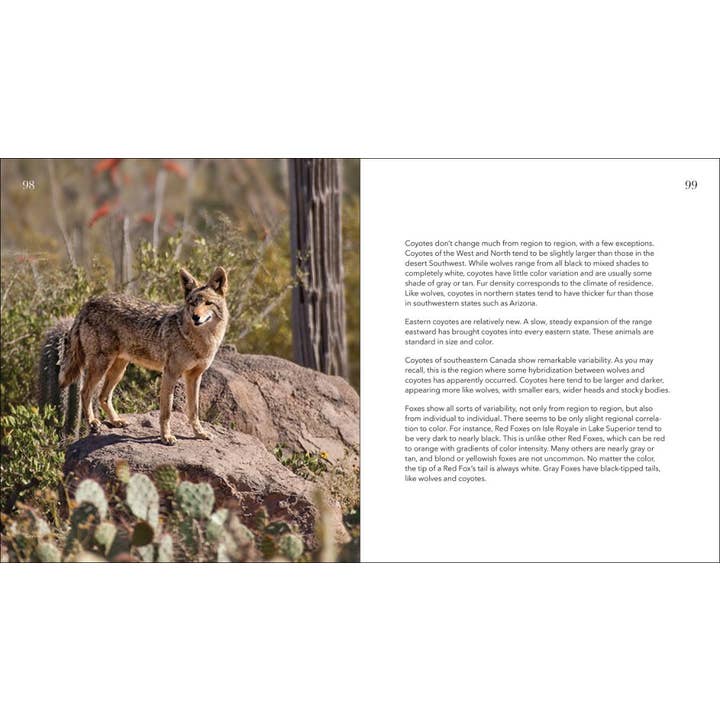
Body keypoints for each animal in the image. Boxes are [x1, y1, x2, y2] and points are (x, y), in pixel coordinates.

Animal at [59, 266, 228, 445]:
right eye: (193, 303)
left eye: (208, 303)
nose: (195, 317)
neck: (200, 340)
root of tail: (89, 302)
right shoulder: (170, 373)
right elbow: (166, 412)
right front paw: (166, 437)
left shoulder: (194, 377)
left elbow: (194, 411)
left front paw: (199, 433)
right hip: (101, 366)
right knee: (85, 392)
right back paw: (93, 422)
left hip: (118, 370)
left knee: (103, 396)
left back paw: (116, 421)